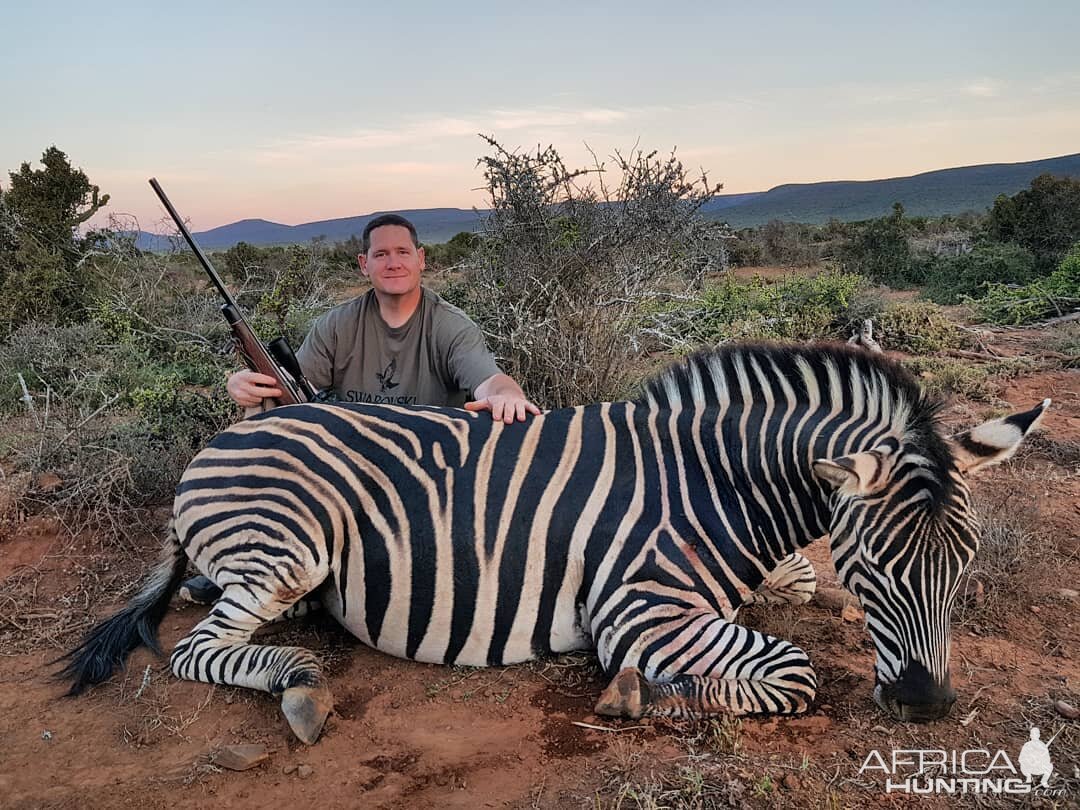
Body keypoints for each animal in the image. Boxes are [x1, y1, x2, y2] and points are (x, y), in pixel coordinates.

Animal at [59, 339, 1045, 747]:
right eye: (873, 569)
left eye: (964, 565)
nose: (925, 706)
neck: (713, 482)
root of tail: (223, 437)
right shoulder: (641, 609)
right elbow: (793, 673)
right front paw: (644, 696)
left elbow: (795, 593)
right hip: (290, 544)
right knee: (196, 649)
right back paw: (297, 684)